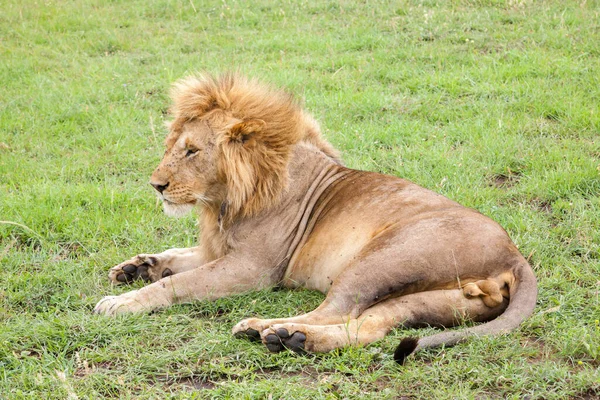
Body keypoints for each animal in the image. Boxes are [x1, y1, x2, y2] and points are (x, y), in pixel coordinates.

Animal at [95, 72, 540, 362]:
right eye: (173, 145)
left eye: (191, 151)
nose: (156, 185)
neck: (224, 202)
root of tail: (514, 254)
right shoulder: (217, 249)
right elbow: (176, 256)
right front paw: (136, 267)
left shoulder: (254, 267)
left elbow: (178, 284)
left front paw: (122, 302)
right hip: (429, 299)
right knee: (368, 326)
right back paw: (293, 338)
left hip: (381, 258)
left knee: (336, 309)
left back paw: (268, 329)